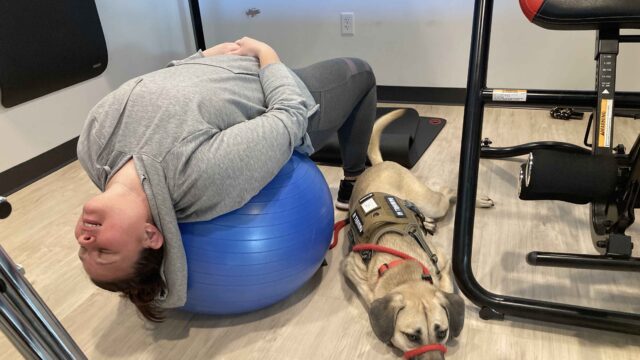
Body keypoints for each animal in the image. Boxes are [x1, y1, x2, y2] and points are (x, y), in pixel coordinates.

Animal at [340, 109, 496, 360]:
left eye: (442, 332)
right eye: (412, 337)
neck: (402, 266)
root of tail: (381, 164)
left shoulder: (443, 260)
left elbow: (444, 287)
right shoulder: (351, 267)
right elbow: (370, 294)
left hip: (431, 202)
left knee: (447, 191)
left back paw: (477, 201)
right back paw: (429, 223)